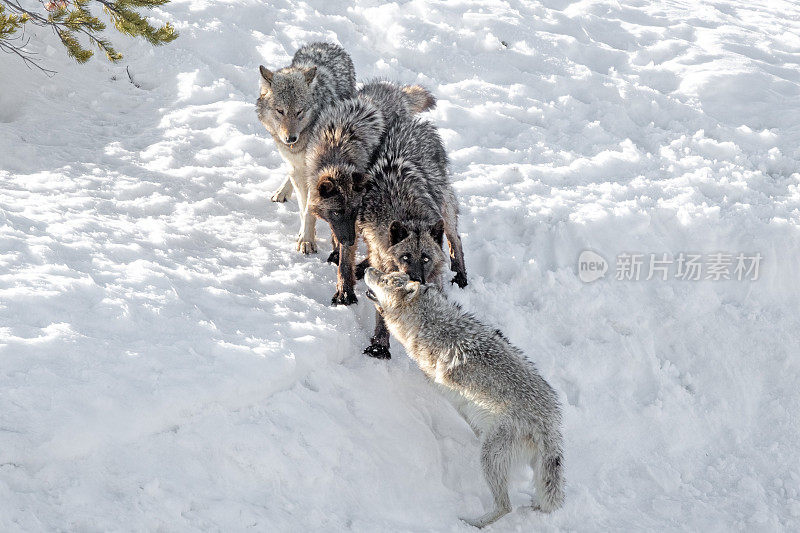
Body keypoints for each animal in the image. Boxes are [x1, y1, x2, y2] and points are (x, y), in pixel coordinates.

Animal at [256, 42, 356, 255]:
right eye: (280, 111)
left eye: (299, 111)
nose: (290, 138)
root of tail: (325, 43)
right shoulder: (297, 165)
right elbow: (304, 209)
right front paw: (306, 236)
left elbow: (309, 209)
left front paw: (307, 240)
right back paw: (282, 192)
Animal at [306, 78, 438, 304]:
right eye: (336, 212)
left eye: (354, 211)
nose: (350, 240)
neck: (336, 150)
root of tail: (395, 91)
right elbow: (336, 236)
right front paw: (337, 250)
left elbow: (346, 263)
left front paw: (345, 291)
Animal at [362, 268, 564, 524]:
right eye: (388, 273)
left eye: (385, 280)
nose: (368, 269)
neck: (426, 323)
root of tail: (550, 424)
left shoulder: (451, 395)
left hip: (489, 458)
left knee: (505, 506)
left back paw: (472, 523)